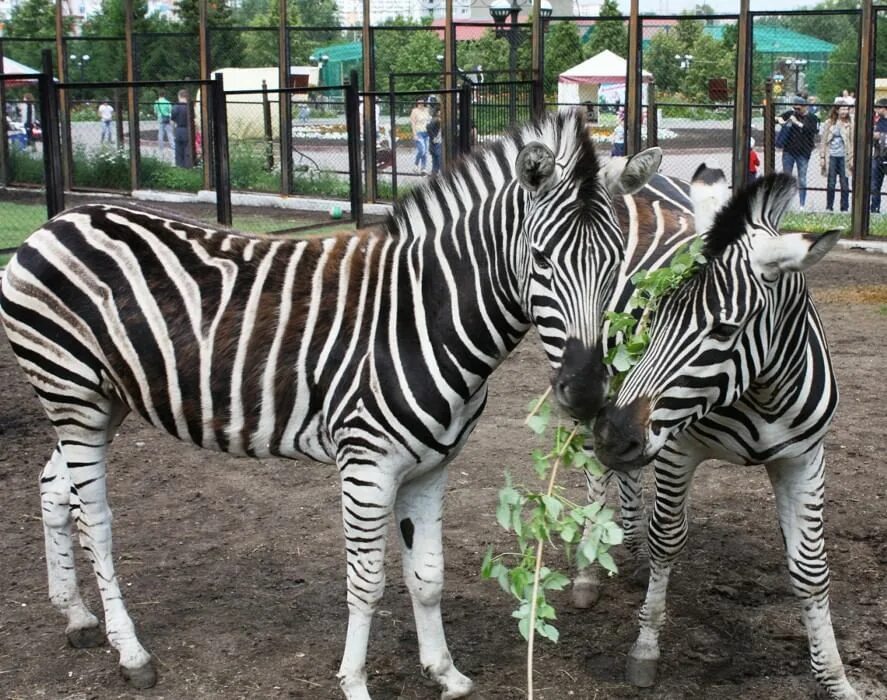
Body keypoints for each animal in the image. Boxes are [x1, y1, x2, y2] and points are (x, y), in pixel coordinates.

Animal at [0, 109, 664, 700]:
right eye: (542, 259)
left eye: (615, 261)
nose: (586, 391)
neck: (422, 316)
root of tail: (60, 218)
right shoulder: (367, 465)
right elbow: (367, 583)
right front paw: (355, 682)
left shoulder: (431, 469)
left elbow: (427, 577)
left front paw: (445, 674)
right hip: (74, 395)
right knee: (95, 518)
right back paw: (131, 652)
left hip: (101, 401)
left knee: (54, 490)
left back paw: (78, 619)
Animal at [588, 174, 860, 700]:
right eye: (654, 312)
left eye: (724, 328)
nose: (614, 434)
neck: (763, 394)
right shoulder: (676, 449)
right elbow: (667, 539)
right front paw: (645, 648)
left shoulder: (804, 458)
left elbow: (811, 570)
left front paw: (836, 678)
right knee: (595, 476)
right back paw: (584, 574)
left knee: (626, 478)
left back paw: (629, 549)